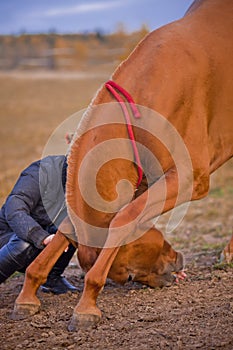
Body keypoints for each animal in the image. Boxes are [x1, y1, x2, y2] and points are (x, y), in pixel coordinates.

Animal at [13, 0, 233, 330]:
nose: (178, 263)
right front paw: (28, 295)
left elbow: (124, 218)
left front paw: (86, 307)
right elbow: (65, 229)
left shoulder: (190, 179)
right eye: (128, 275)